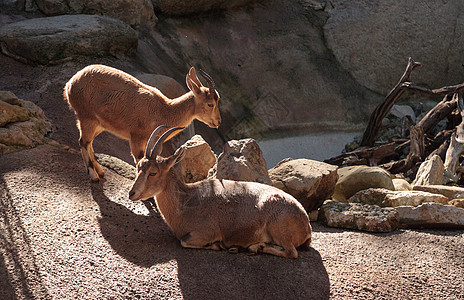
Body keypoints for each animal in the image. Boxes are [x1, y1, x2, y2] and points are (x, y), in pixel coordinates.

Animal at [63, 65, 221, 180]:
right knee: (83, 141)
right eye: (210, 104)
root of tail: (70, 84)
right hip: (86, 118)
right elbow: (139, 160)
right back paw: (94, 175)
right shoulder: (136, 138)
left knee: (88, 142)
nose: (218, 122)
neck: (164, 110)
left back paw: (100, 172)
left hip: (99, 124)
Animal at [129, 125, 314, 258]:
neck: (186, 204)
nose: (132, 193)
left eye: (153, 172)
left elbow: (185, 242)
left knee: (291, 252)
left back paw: (255, 247)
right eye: (139, 166)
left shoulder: (206, 231)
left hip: (279, 227)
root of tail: (306, 224)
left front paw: (217, 245)